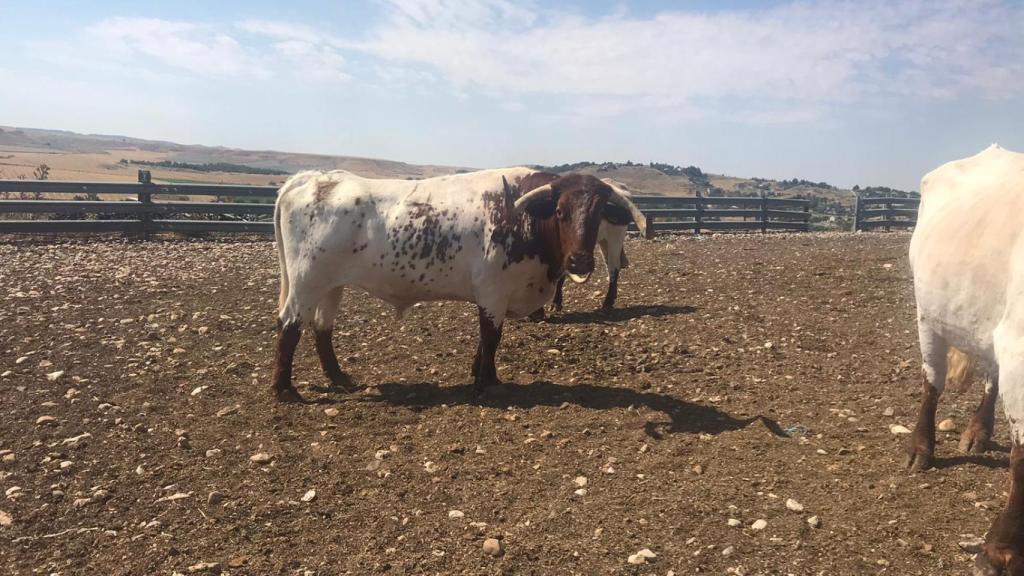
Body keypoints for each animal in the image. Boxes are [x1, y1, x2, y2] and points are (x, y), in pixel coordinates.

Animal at [270, 166, 647, 399]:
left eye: (598, 214)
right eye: (560, 212)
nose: (579, 261)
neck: (523, 219)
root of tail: (313, 177)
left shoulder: (493, 296)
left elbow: (486, 338)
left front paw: (478, 372)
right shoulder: (493, 292)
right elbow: (492, 336)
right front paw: (487, 383)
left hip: (331, 285)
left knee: (322, 328)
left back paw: (339, 378)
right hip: (305, 283)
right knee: (290, 326)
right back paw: (285, 390)